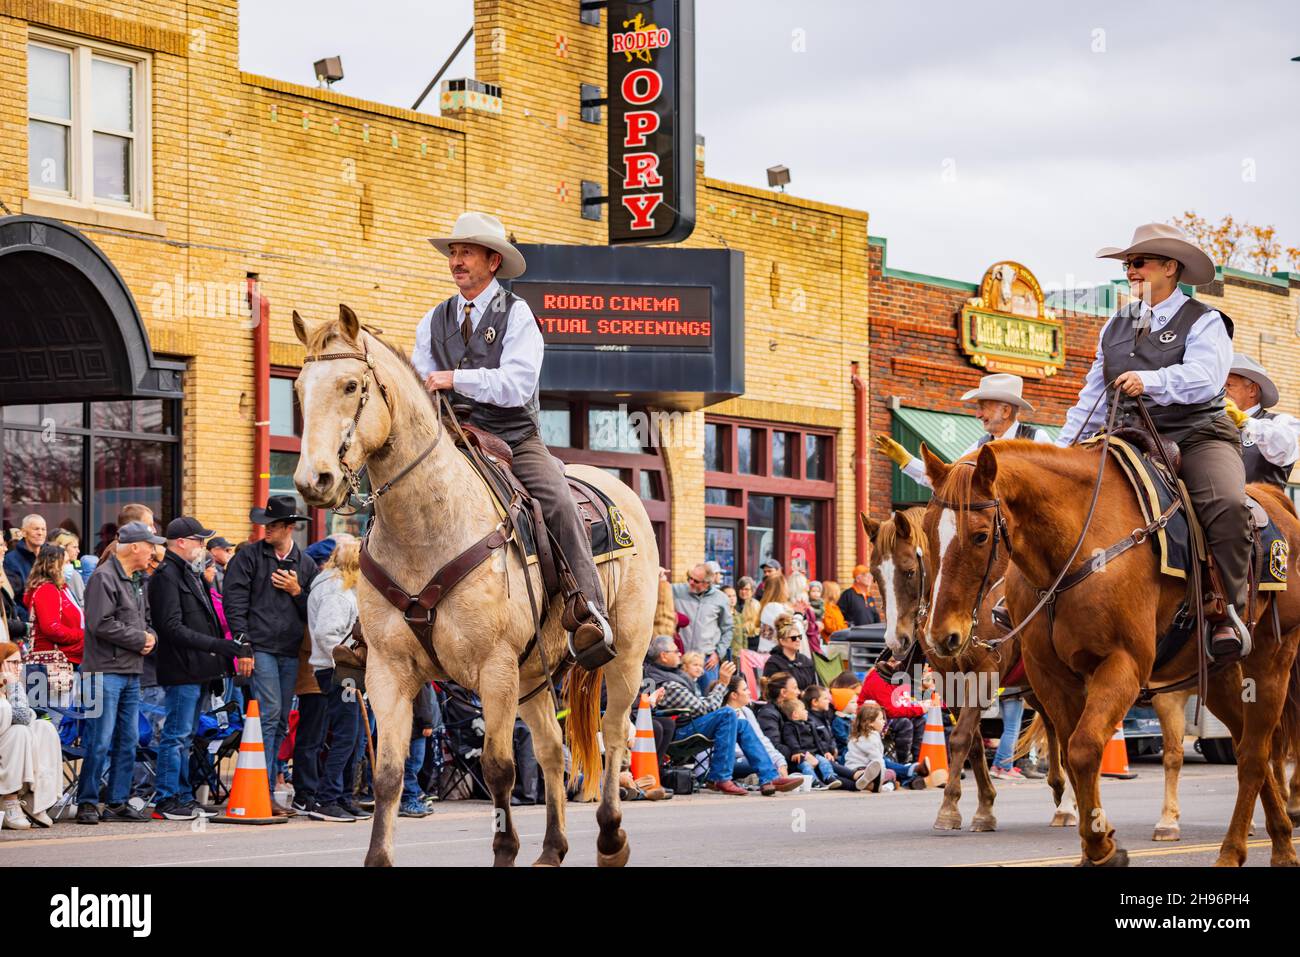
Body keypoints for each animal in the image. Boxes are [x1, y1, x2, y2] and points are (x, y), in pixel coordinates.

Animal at [291, 305, 658, 867]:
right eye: (297, 389)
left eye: (351, 385)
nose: (315, 480)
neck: (426, 528)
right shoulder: (389, 671)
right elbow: (389, 774)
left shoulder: (495, 669)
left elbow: (498, 770)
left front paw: (504, 849)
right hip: (534, 674)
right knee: (551, 750)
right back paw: (552, 849)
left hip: (625, 657)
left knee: (614, 736)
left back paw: (610, 839)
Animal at [864, 508, 1077, 833]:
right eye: (875, 574)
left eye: (909, 571)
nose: (896, 641)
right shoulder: (948, 678)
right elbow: (973, 743)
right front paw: (985, 807)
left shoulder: (985, 672)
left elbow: (961, 736)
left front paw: (949, 808)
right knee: (1054, 725)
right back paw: (1060, 792)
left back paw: (1068, 804)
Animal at [919, 440, 1300, 866]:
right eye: (927, 531)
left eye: (981, 536)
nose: (941, 635)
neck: (1075, 552)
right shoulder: (1051, 677)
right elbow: (1071, 753)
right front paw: (1095, 842)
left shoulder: (1122, 665)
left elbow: (1085, 749)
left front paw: (1102, 846)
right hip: (1218, 676)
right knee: (1248, 744)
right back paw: (1281, 840)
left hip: (1272, 661)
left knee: (1253, 754)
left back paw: (1236, 850)